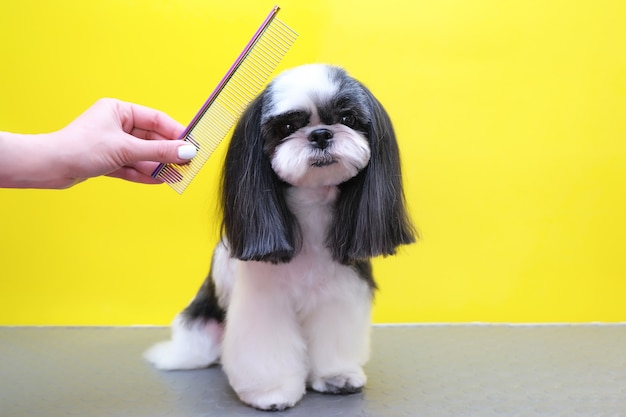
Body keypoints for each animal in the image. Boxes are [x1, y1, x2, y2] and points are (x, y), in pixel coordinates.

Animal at [146, 64, 414, 410]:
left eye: (348, 118)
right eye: (287, 126)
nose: (321, 134)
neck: (312, 209)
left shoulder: (339, 292)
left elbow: (333, 337)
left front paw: (335, 376)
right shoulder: (264, 302)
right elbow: (266, 350)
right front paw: (271, 392)